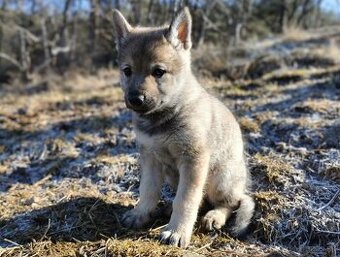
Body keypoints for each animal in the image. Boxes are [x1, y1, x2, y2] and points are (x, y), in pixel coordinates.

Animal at [114, 7, 255, 246]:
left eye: (158, 72)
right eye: (127, 70)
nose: (135, 99)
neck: (162, 119)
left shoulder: (193, 160)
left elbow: (186, 199)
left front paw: (177, 231)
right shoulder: (150, 157)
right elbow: (148, 190)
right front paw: (140, 214)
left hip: (220, 179)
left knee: (231, 203)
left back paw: (214, 216)